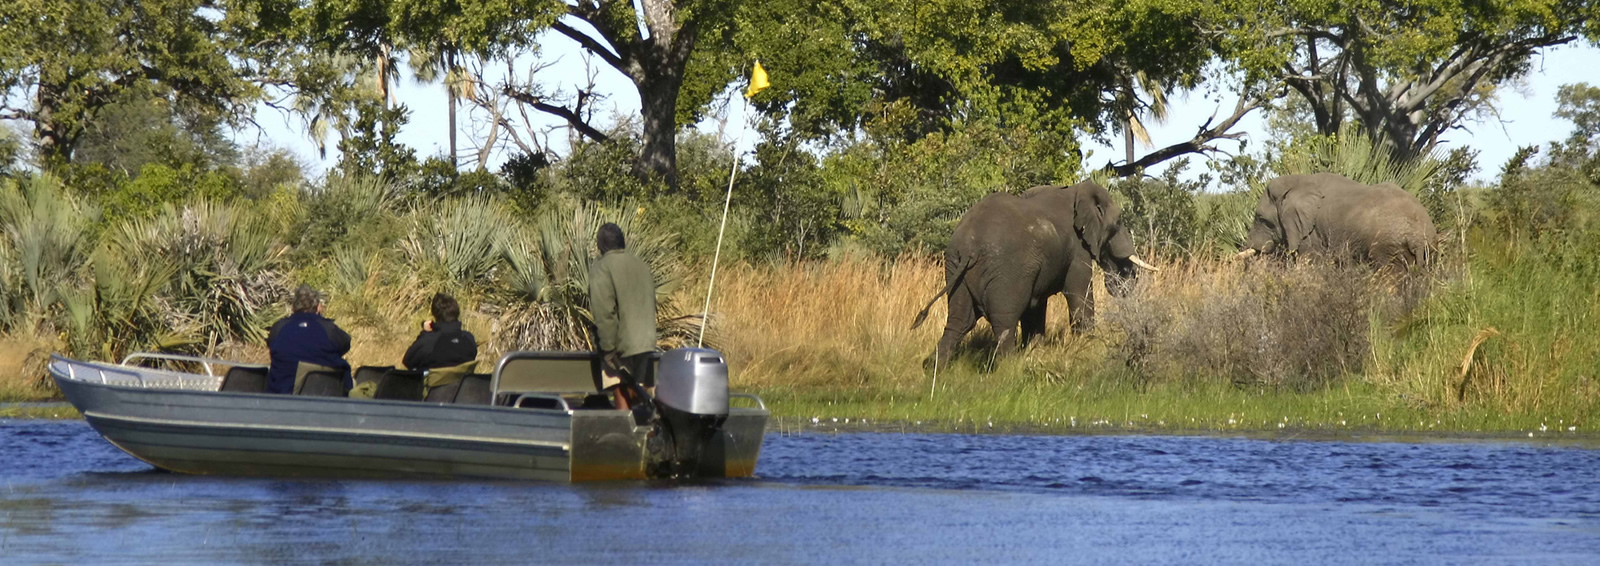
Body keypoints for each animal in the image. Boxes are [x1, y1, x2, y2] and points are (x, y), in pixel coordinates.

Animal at [910, 180, 1159, 368]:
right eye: (1119, 222)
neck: (1075, 190)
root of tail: (969, 247)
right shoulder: (1076, 250)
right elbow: (1079, 295)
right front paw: (1089, 348)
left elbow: (1036, 306)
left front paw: (1035, 351)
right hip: (1006, 272)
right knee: (1004, 321)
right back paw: (1007, 368)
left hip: (954, 267)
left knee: (959, 321)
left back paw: (932, 368)